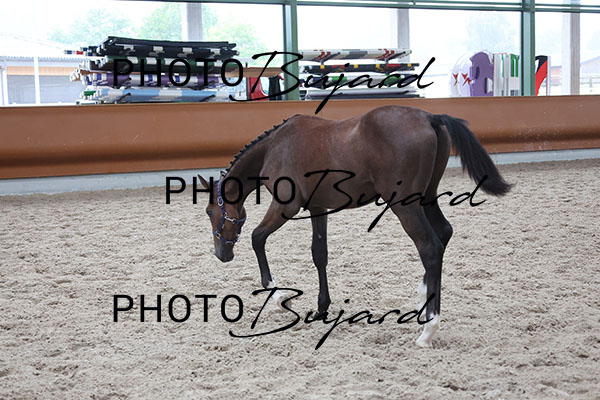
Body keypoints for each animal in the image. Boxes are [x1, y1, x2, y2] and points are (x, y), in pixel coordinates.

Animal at [198, 105, 511, 348]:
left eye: (209, 210)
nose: (221, 254)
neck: (275, 147)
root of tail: (429, 117)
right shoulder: (317, 208)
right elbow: (319, 253)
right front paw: (322, 308)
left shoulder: (286, 207)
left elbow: (257, 238)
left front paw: (277, 295)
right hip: (427, 197)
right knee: (444, 233)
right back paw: (424, 299)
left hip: (405, 205)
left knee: (429, 246)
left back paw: (428, 330)